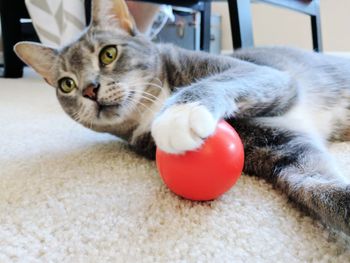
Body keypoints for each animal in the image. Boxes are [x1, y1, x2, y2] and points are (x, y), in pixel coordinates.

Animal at [13, 0, 350, 236]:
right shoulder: (280, 148)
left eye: (108, 54)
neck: (153, 104)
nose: (89, 89)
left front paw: (180, 114)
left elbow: (221, 81)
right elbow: (314, 183)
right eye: (66, 84)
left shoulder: (266, 75)